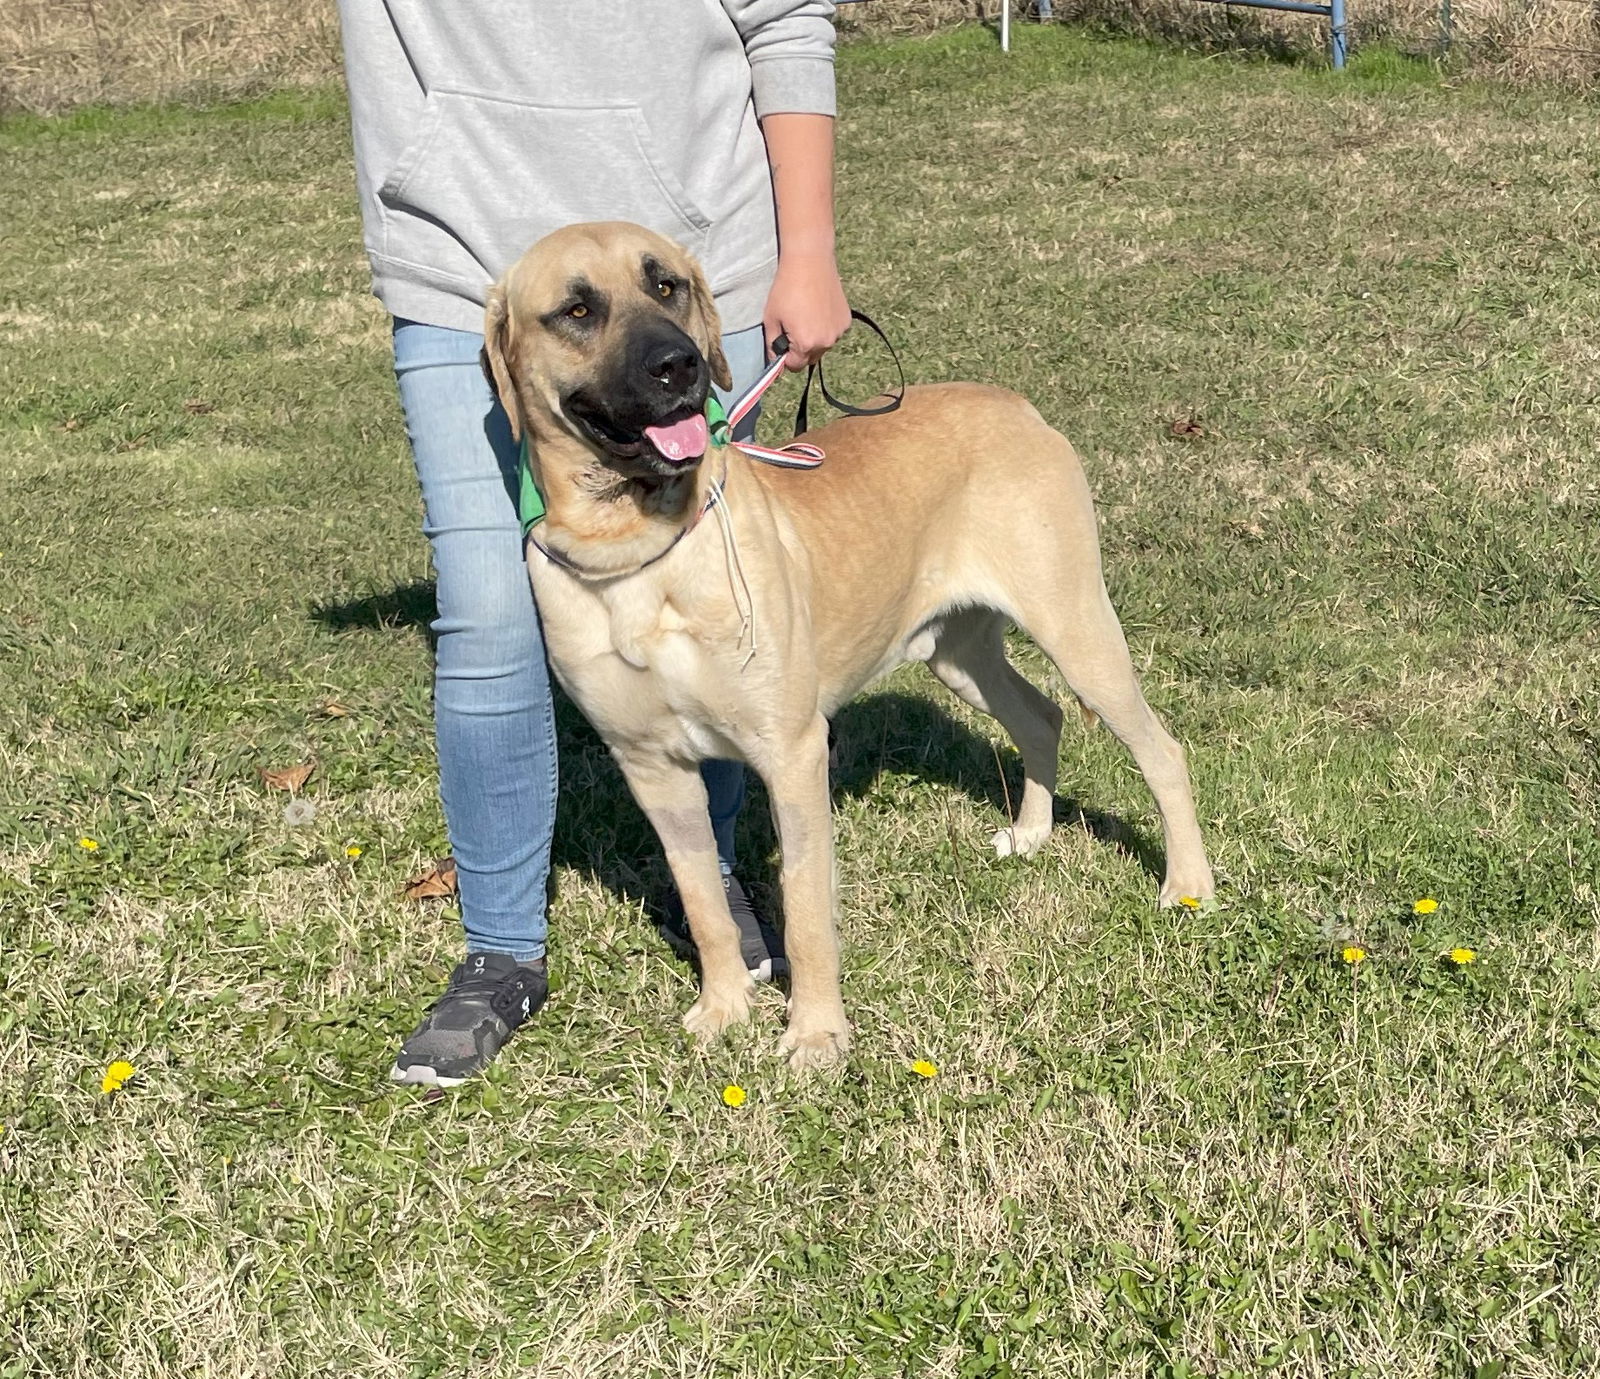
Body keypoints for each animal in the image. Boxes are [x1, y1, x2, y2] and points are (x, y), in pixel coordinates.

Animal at [486, 223, 1209, 1068]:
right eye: (576, 309)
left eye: (667, 285)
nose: (681, 365)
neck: (635, 549)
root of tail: (1018, 405)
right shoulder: (651, 767)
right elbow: (703, 902)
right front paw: (724, 1007)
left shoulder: (792, 751)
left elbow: (805, 909)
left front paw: (816, 1034)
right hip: (957, 653)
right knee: (1040, 716)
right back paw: (1032, 832)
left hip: (1076, 627)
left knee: (1160, 749)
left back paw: (1189, 882)